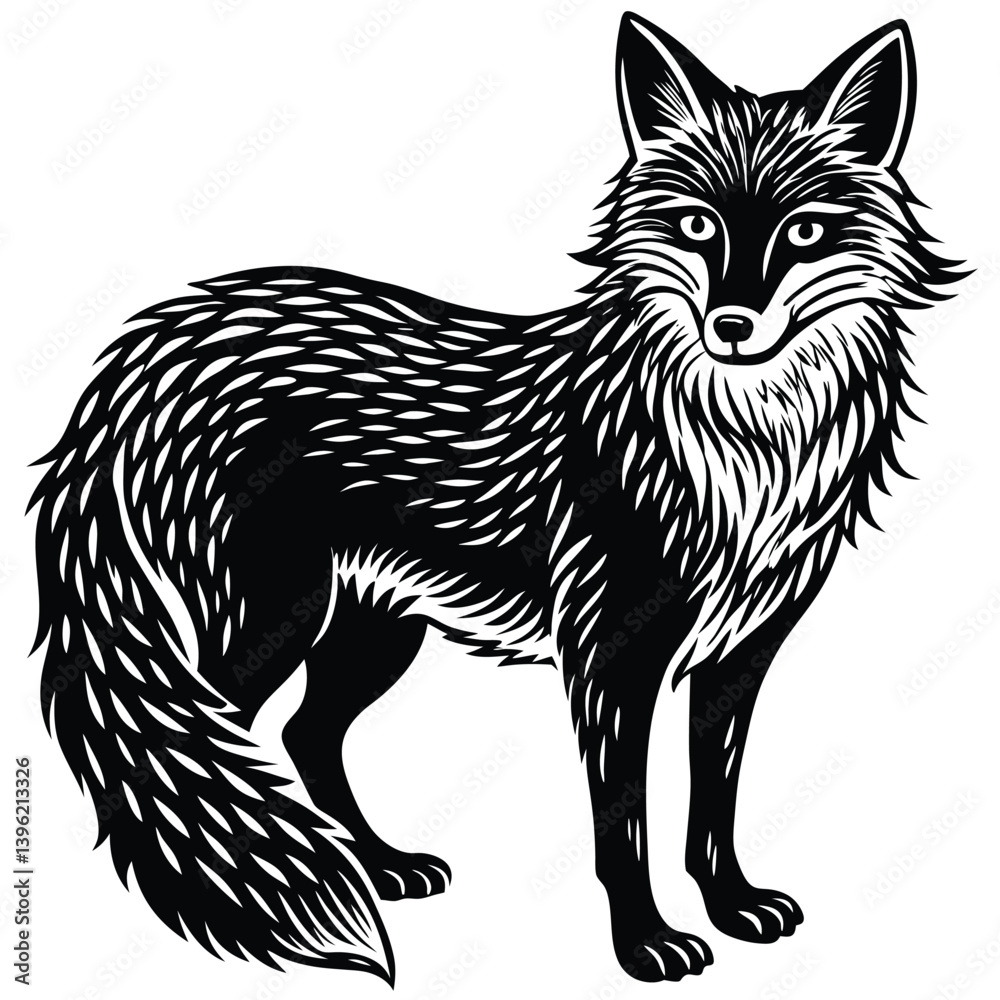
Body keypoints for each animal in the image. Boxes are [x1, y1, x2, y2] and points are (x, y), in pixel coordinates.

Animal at [30, 13, 962, 985]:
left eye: (807, 232)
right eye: (697, 224)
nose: (732, 327)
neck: (743, 449)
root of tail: (159, 345)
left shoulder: (737, 657)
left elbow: (713, 805)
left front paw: (732, 904)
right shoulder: (612, 659)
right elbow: (624, 826)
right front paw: (645, 943)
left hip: (372, 633)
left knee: (304, 737)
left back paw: (377, 865)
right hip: (273, 624)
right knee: (213, 742)